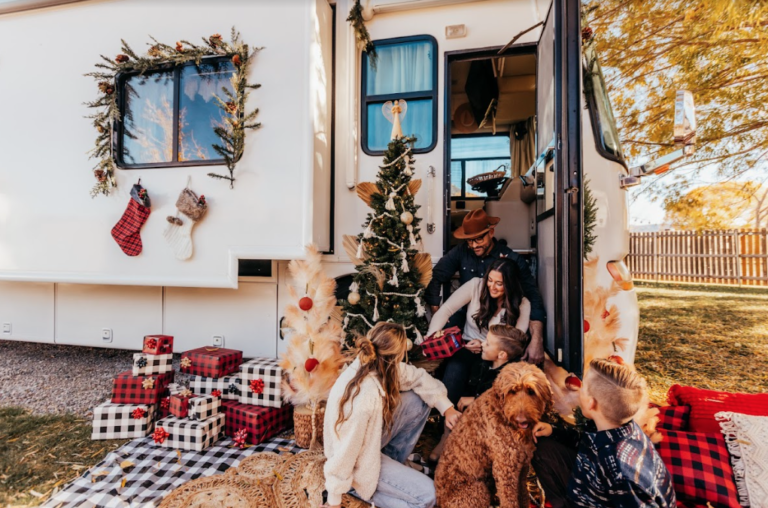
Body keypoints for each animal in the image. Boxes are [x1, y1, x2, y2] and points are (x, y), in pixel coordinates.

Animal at [432, 364, 552, 506]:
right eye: (511, 391)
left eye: (531, 391)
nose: (521, 419)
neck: (502, 413)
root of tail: (439, 501)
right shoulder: (505, 470)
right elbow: (509, 501)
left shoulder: (523, 466)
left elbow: (523, 495)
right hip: (477, 492)